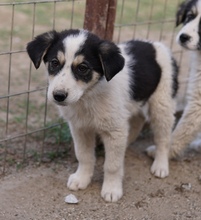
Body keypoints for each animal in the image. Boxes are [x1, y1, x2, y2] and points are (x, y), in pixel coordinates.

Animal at [25, 29, 178, 203]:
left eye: (83, 68)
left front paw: (111, 189)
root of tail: (156, 45)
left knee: (163, 138)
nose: (58, 96)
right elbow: (84, 155)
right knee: (137, 122)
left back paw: (160, 165)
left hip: (162, 103)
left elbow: (112, 165)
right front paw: (82, 179)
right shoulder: (80, 128)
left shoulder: (114, 129)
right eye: (54, 63)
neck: (88, 96)